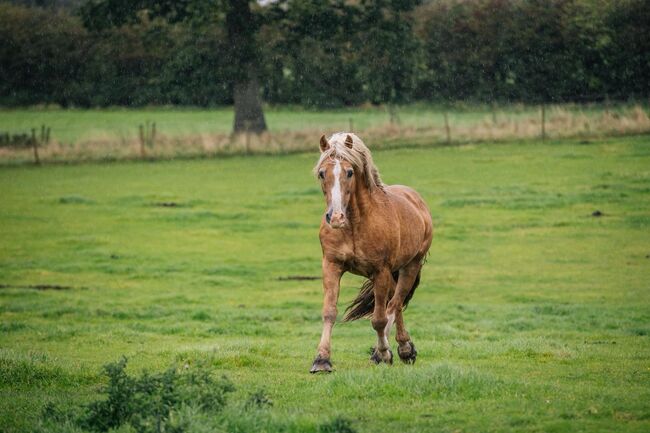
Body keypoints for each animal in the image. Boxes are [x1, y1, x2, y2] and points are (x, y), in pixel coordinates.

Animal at [308, 131, 430, 372]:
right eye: (321, 173)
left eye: (349, 172)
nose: (336, 218)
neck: (355, 224)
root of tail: (417, 201)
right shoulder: (332, 265)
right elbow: (329, 312)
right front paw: (322, 360)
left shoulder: (380, 271)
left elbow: (379, 319)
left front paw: (382, 353)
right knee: (395, 303)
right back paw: (404, 348)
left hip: (409, 266)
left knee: (394, 304)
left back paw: (395, 351)